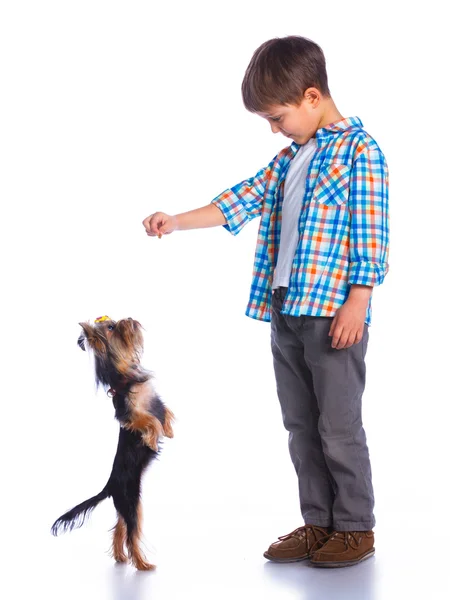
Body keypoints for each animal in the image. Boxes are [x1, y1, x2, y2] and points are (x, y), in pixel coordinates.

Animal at [51, 316, 174, 568]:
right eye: (111, 327)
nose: (129, 319)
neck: (125, 377)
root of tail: (109, 486)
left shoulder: (155, 401)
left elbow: (166, 412)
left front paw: (168, 430)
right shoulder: (129, 416)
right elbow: (149, 421)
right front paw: (153, 439)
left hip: (127, 505)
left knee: (120, 528)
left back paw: (120, 557)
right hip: (131, 502)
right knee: (131, 535)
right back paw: (142, 564)